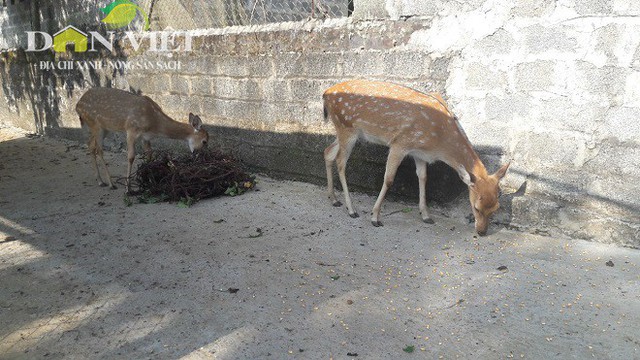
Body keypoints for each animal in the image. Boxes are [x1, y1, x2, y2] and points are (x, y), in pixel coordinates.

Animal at [76, 87, 209, 193]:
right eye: (204, 141)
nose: (200, 157)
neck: (155, 123)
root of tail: (78, 105)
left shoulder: (146, 137)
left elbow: (149, 155)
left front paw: (150, 182)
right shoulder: (131, 130)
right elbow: (131, 157)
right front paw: (128, 189)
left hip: (104, 128)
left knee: (90, 145)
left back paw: (100, 181)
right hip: (95, 125)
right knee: (99, 150)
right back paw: (111, 184)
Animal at [324, 80, 510, 235]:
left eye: (496, 208)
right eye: (476, 207)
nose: (482, 231)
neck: (439, 141)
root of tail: (325, 93)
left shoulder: (419, 153)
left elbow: (423, 177)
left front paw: (426, 216)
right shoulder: (400, 143)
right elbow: (389, 179)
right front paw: (375, 217)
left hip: (345, 130)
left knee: (328, 152)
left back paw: (334, 200)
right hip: (347, 127)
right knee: (341, 162)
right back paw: (351, 209)